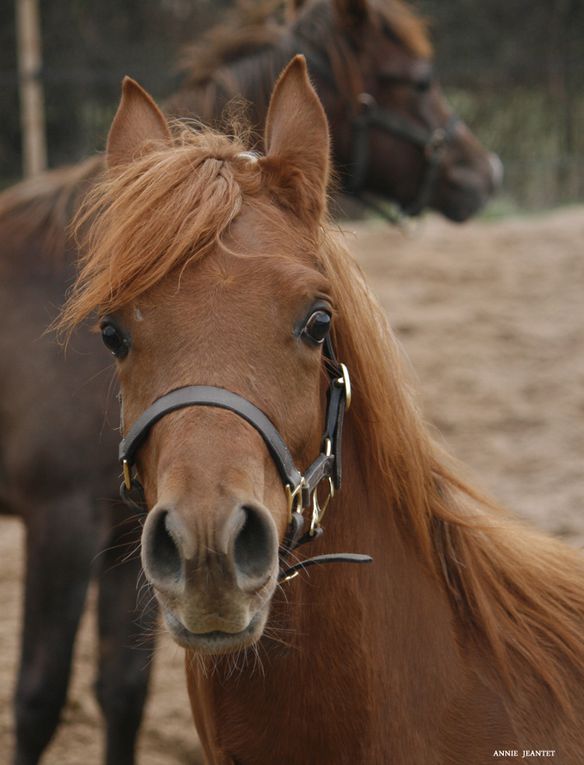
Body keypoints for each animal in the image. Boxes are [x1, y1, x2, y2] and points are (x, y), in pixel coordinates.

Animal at [0, 2, 500, 760]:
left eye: (319, 321)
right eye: (418, 80)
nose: (485, 173)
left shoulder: (123, 529)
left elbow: (121, 691)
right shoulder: (60, 518)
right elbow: (38, 698)